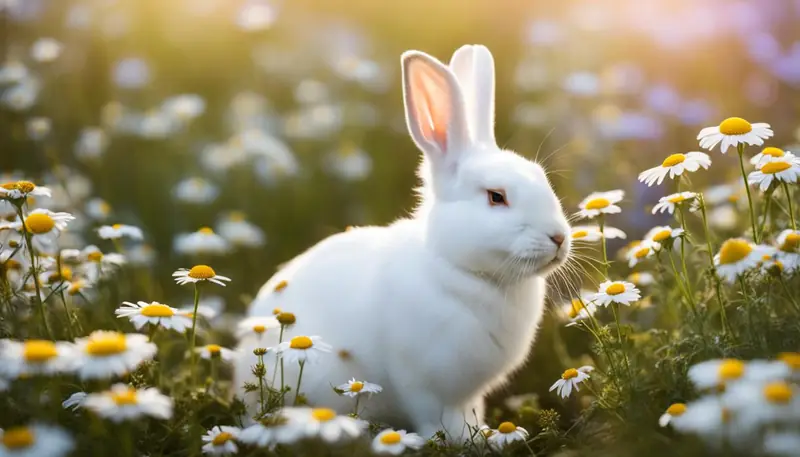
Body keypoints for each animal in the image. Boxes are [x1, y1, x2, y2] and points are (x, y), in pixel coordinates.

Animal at [235, 44, 571, 443]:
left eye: (541, 177)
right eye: (496, 197)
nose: (559, 238)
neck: (458, 268)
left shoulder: (467, 395)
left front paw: (484, 437)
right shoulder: (422, 384)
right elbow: (437, 421)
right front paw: (463, 442)